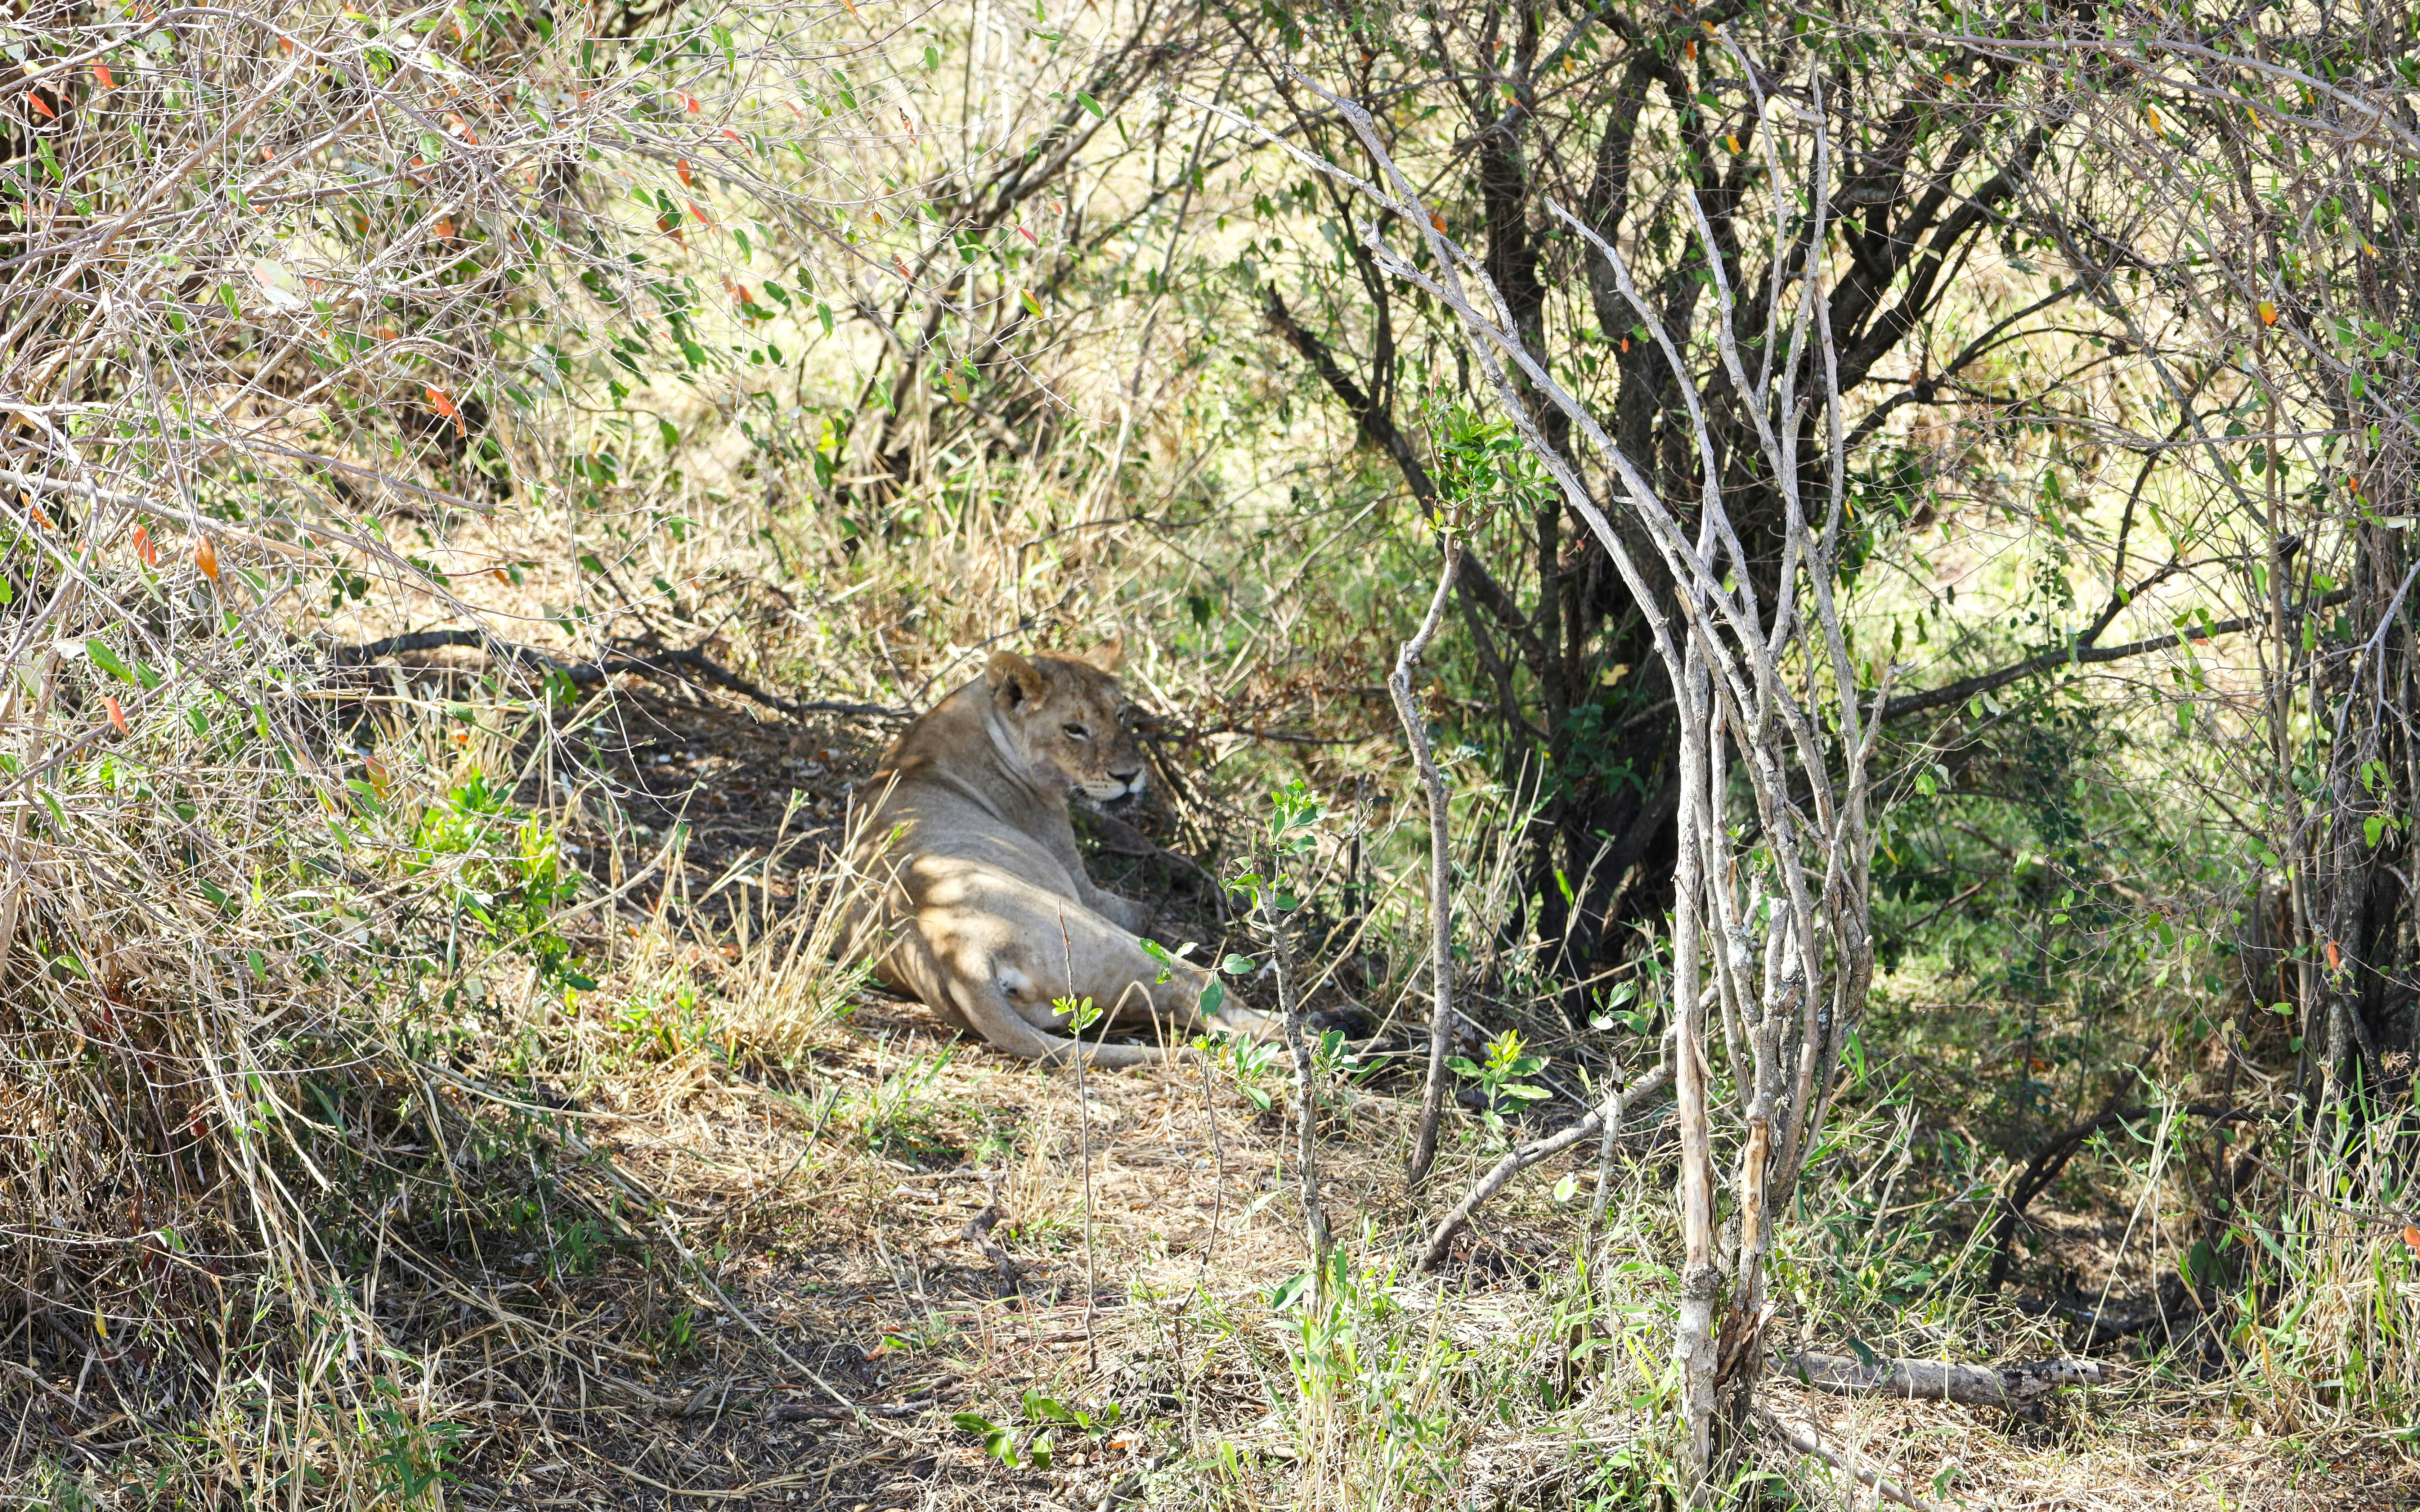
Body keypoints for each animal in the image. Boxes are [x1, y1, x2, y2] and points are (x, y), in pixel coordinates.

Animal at [841, 641, 1273, 1066]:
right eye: (1074, 730)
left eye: (1120, 715)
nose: (1130, 776)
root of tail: (957, 959)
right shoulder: (1085, 887)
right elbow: (1147, 908)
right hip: (1108, 940)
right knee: (1204, 997)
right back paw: (1275, 1026)